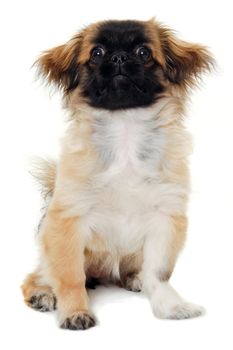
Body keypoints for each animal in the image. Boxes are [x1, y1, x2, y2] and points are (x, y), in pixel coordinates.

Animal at [21, 17, 213, 330]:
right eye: (96, 53)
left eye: (144, 53)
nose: (119, 57)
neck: (125, 130)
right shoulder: (68, 222)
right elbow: (70, 276)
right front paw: (75, 312)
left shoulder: (166, 218)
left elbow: (159, 272)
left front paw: (170, 306)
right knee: (39, 276)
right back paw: (43, 293)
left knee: (133, 270)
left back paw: (135, 279)